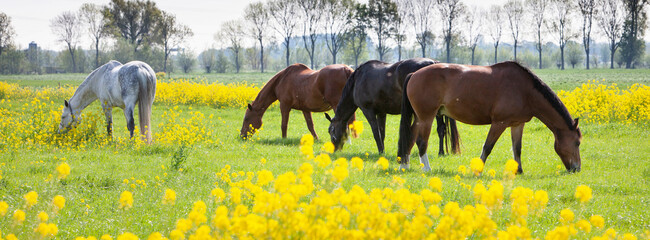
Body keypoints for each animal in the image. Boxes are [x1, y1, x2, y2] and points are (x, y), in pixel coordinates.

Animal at [322, 58, 456, 159]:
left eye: (331, 130)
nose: (334, 150)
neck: (357, 81)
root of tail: (433, 62)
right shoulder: (382, 113)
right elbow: (382, 133)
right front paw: (382, 151)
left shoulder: (368, 111)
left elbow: (376, 133)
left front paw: (380, 151)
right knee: (441, 128)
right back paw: (441, 152)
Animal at [394, 61, 584, 172]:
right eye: (577, 143)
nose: (577, 168)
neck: (525, 90)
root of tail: (414, 74)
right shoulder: (499, 123)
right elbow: (488, 147)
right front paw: (478, 170)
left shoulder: (517, 124)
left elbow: (517, 148)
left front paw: (519, 170)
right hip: (427, 117)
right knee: (421, 141)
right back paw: (426, 168)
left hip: (419, 118)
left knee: (410, 136)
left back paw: (405, 165)